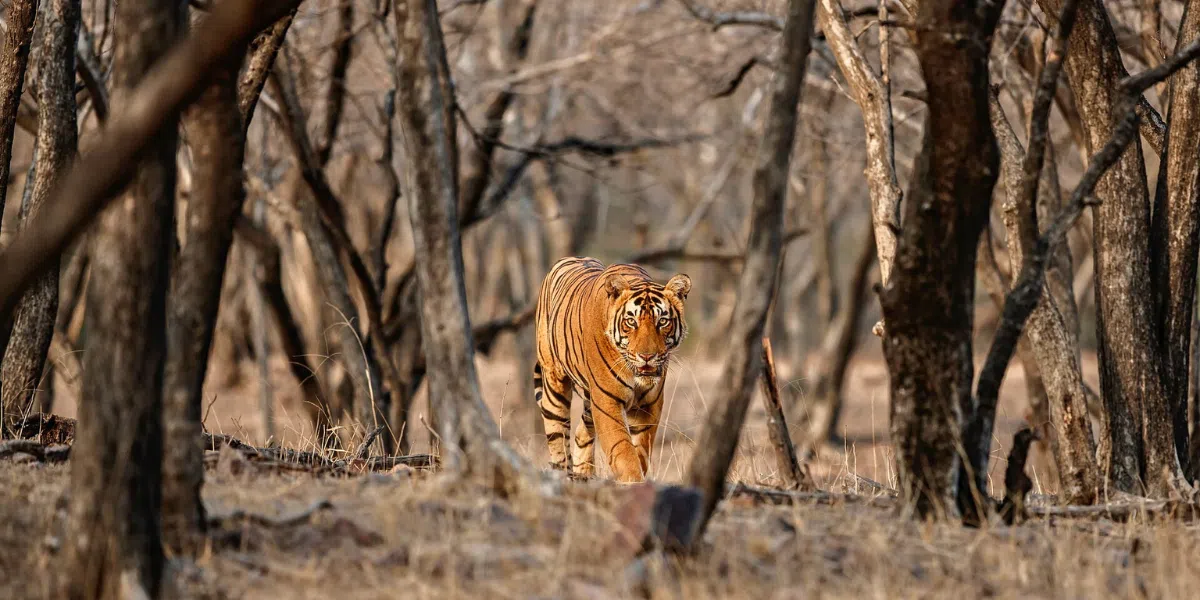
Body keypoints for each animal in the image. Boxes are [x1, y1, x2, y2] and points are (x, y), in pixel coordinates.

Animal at [532, 258, 691, 482]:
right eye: (631, 321)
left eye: (662, 321)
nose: (647, 356)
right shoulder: (607, 402)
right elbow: (623, 451)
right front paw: (632, 482)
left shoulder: (649, 406)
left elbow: (641, 451)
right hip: (554, 383)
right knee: (558, 439)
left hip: (590, 399)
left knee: (581, 432)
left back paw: (584, 476)